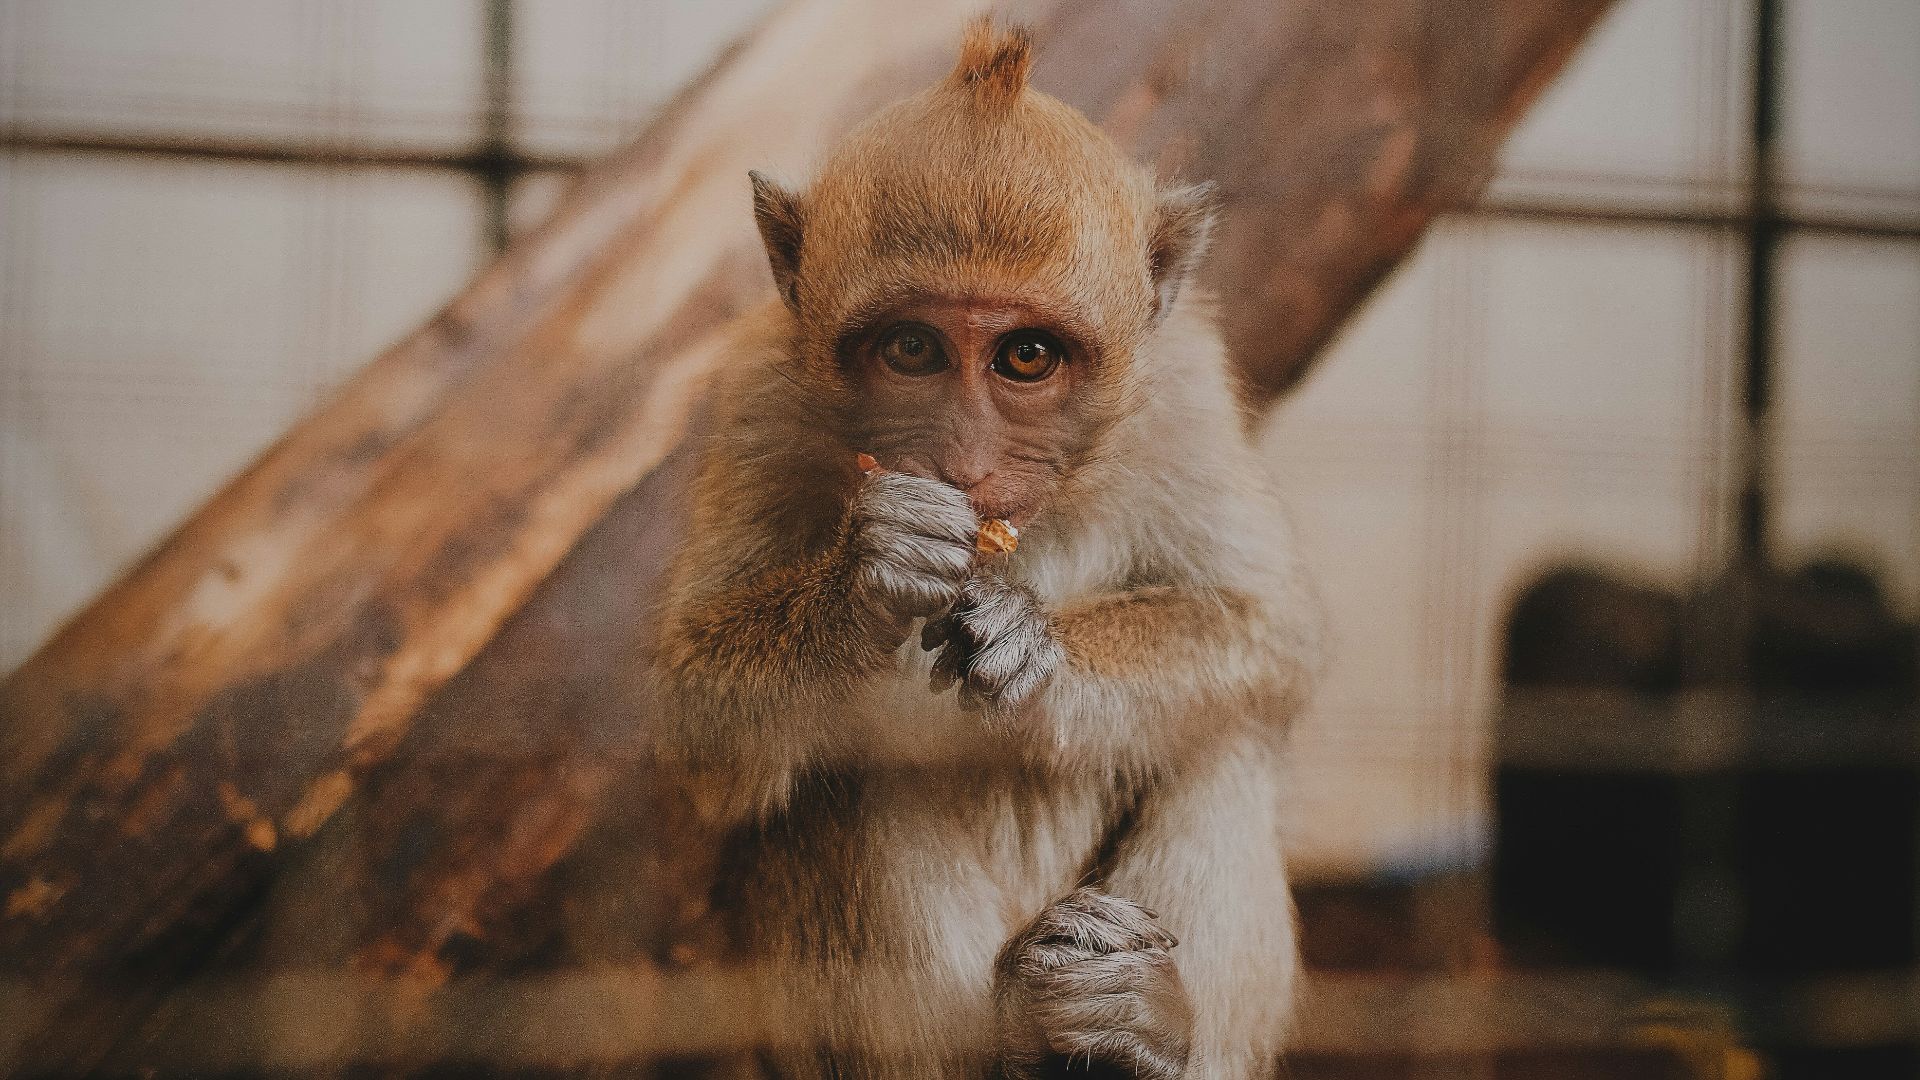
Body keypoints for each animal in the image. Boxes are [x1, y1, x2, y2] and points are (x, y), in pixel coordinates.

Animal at [650, 19, 1320, 1080]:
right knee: (831, 775)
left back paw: (1130, 1025)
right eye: (912, 349)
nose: (963, 466)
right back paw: (1019, 1030)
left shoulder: (1183, 390)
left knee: (1220, 735)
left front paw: (1039, 647)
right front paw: (863, 579)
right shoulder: (759, 396)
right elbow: (698, 734)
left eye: (1027, 357)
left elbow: (1269, 628)